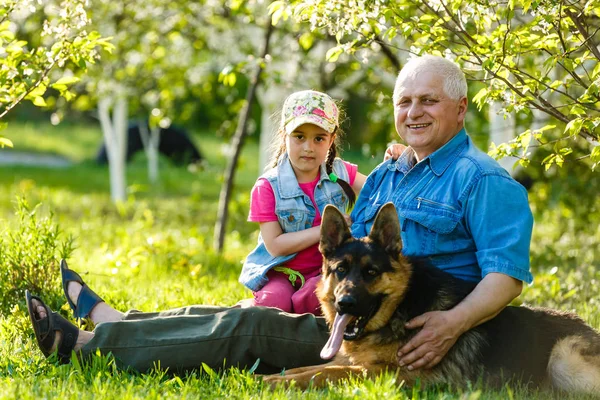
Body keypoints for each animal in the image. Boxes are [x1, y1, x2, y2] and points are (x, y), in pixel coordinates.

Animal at [262, 203, 600, 394]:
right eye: (340, 270)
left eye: (371, 272)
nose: (345, 303)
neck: (402, 306)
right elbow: (304, 368)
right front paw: (271, 376)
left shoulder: (392, 374)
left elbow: (327, 372)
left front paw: (275, 384)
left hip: (563, 360)